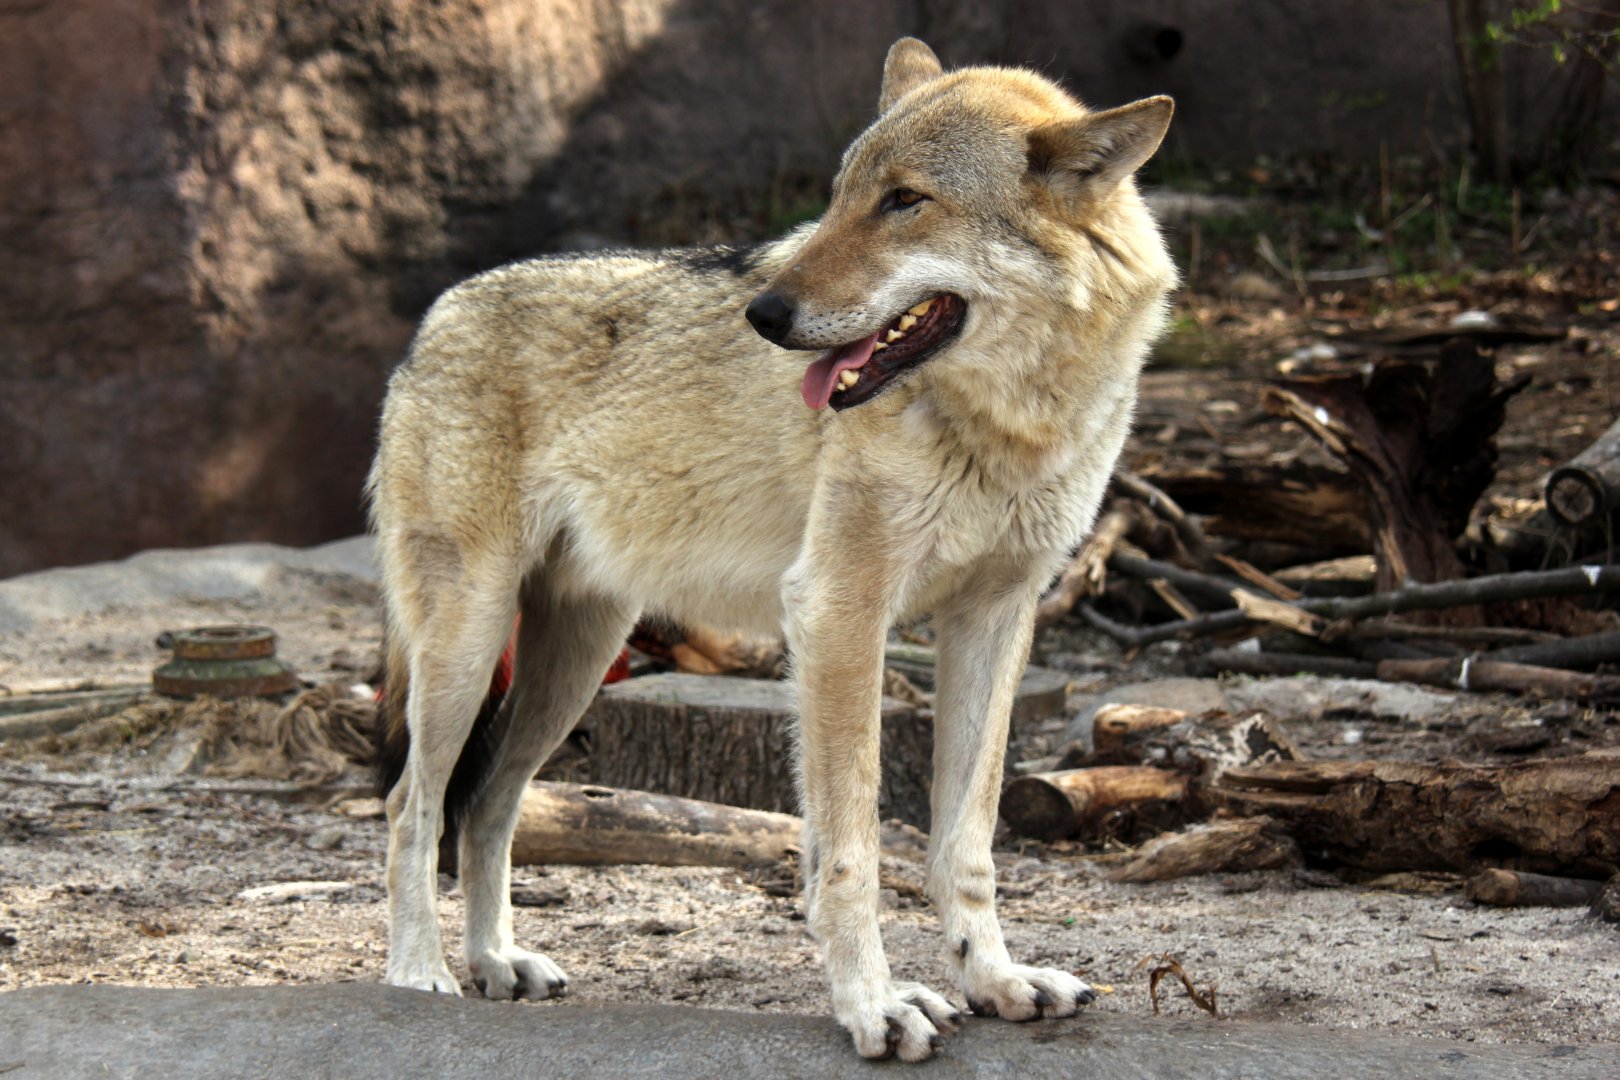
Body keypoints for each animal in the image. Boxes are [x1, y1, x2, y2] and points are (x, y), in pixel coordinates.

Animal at [369, 37, 1176, 1062]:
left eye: (905, 200)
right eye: (839, 196)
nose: (766, 314)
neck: (1008, 423)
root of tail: (435, 316)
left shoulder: (996, 618)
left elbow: (968, 841)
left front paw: (994, 981)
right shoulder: (837, 612)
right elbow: (851, 851)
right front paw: (875, 1007)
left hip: (576, 665)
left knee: (487, 803)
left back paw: (496, 963)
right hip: (470, 647)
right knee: (412, 803)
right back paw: (421, 974)